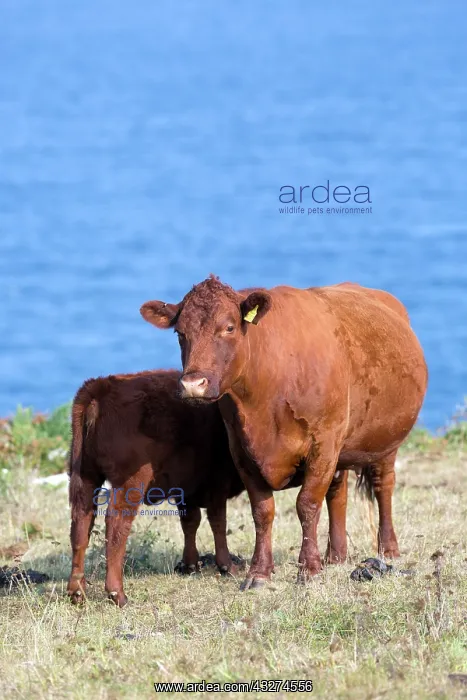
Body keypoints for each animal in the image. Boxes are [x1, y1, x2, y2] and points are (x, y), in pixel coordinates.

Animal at [67, 370, 245, 607]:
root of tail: (100, 386)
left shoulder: (187, 490)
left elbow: (190, 522)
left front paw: (190, 564)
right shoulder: (217, 485)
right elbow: (218, 523)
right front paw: (227, 566)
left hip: (85, 477)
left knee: (81, 523)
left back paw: (77, 591)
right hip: (129, 483)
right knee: (116, 525)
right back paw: (117, 594)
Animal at [141, 277, 428, 590]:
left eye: (228, 327)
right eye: (180, 333)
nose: (193, 384)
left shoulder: (323, 443)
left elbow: (307, 504)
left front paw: (309, 569)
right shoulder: (241, 450)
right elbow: (262, 511)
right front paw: (259, 572)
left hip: (385, 442)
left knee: (382, 487)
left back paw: (387, 549)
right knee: (337, 491)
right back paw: (335, 556)